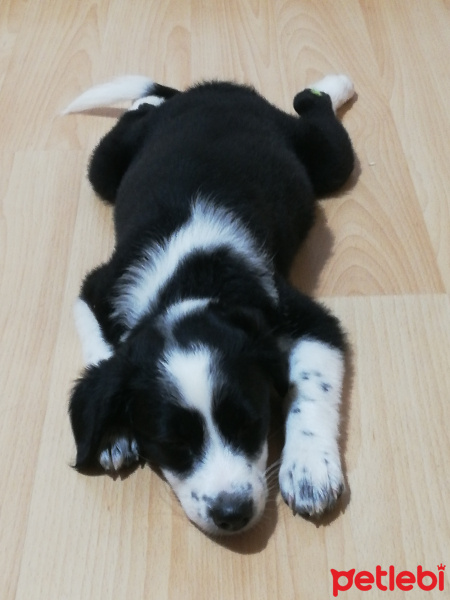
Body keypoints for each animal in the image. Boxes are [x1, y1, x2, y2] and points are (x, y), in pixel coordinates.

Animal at [65, 72, 356, 536]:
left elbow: (312, 385)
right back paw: (147, 100)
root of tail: (211, 88)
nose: (233, 514)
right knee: (135, 115)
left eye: (251, 424)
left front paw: (309, 469)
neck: (188, 282)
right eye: (173, 444)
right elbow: (102, 353)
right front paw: (112, 432)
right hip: (105, 169)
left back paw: (332, 84)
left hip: (324, 159)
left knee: (316, 113)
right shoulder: (97, 288)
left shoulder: (308, 318)